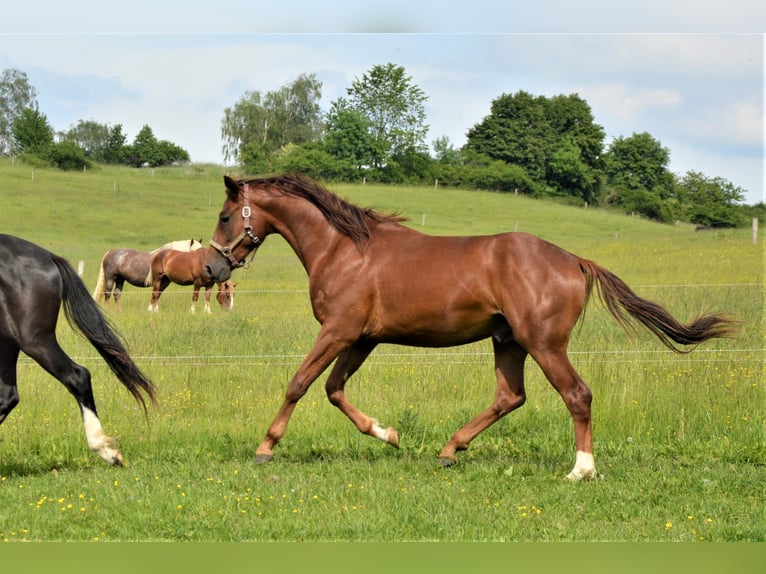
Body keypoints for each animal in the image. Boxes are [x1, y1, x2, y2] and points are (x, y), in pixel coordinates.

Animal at [0, 234, 158, 468]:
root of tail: (49, 257)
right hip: (9, 342)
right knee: (9, 396)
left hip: (34, 340)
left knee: (77, 376)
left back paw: (105, 450)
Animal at [202, 173, 736, 480]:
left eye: (226, 216)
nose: (211, 268)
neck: (344, 249)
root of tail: (574, 260)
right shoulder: (362, 338)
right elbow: (334, 390)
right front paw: (389, 434)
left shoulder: (337, 331)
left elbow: (298, 383)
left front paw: (265, 448)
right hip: (509, 342)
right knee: (510, 397)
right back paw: (449, 450)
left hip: (544, 344)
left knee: (577, 395)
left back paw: (580, 471)